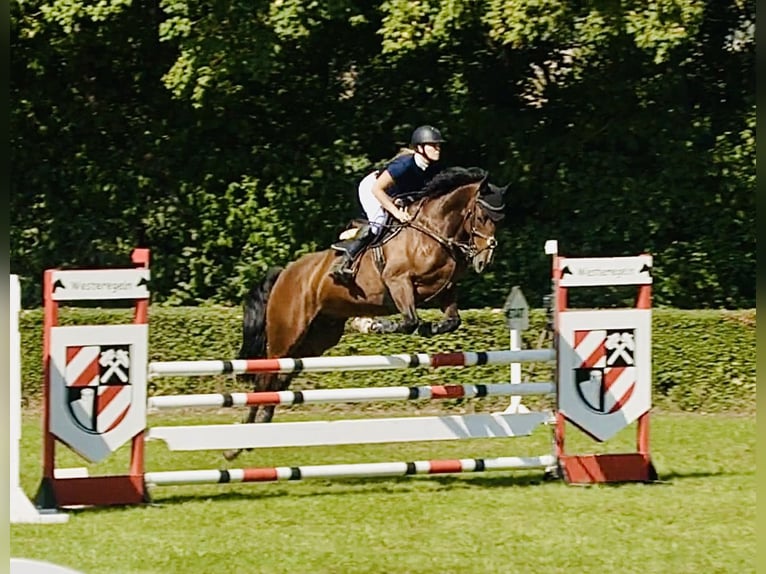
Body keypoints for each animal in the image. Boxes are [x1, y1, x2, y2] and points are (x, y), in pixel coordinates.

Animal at [224, 168, 510, 464]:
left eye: (499, 221)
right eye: (482, 217)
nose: (483, 261)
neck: (432, 231)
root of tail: (285, 273)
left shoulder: (445, 290)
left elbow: (450, 321)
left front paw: (428, 329)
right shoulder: (399, 282)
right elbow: (410, 321)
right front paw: (369, 324)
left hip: (317, 337)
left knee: (282, 377)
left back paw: (260, 429)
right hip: (286, 333)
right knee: (265, 377)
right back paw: (238, 444)